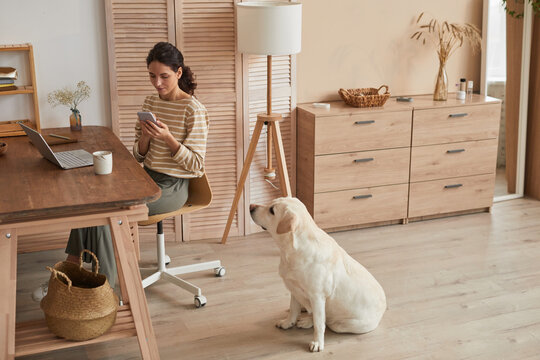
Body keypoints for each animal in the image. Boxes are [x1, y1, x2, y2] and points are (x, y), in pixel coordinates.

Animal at [251, 197, 386, 352]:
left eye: (272, 210)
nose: (250, 206)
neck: (291, 251)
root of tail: (384, 309)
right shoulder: (294, 289)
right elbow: (293, 310)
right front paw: (287, 323)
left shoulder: (317, 297)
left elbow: (319, 323)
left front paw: (317, 342)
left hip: (340, 325)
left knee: (327, 321)